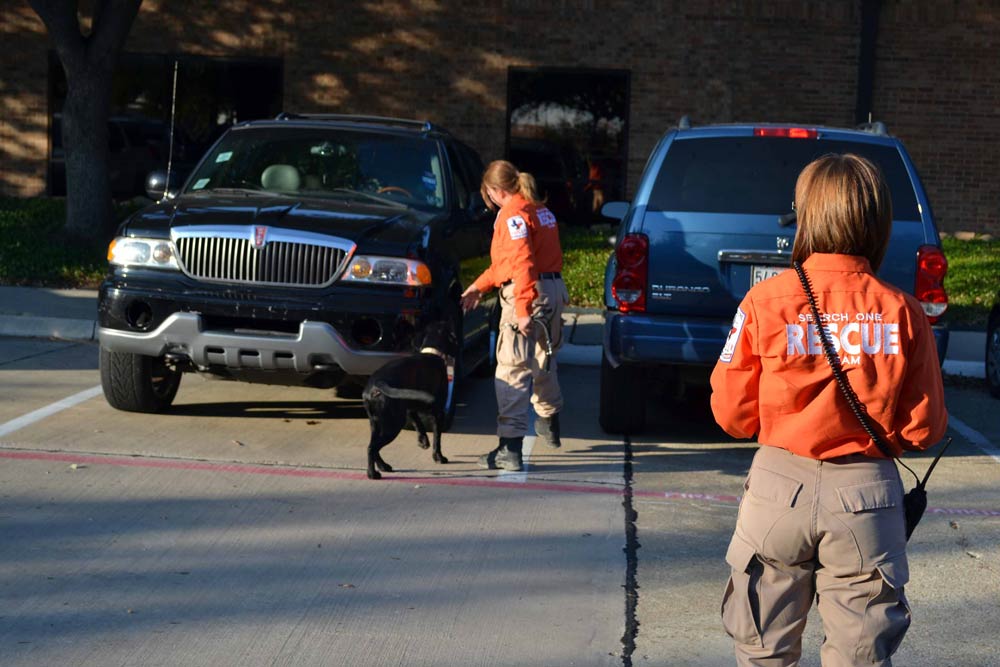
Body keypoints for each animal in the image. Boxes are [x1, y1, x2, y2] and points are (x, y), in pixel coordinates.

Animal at [362, 322, 458, 480]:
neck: (432, 352)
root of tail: (377, 383)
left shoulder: (409, 406)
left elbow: (417, 421)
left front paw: (423, 440)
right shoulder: (438, 412)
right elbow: (437, 437)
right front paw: (439, 457)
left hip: (376, 422)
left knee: (373, 446)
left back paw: (383, 466)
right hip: (393, 424)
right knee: (372, 447)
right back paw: (372, 474)